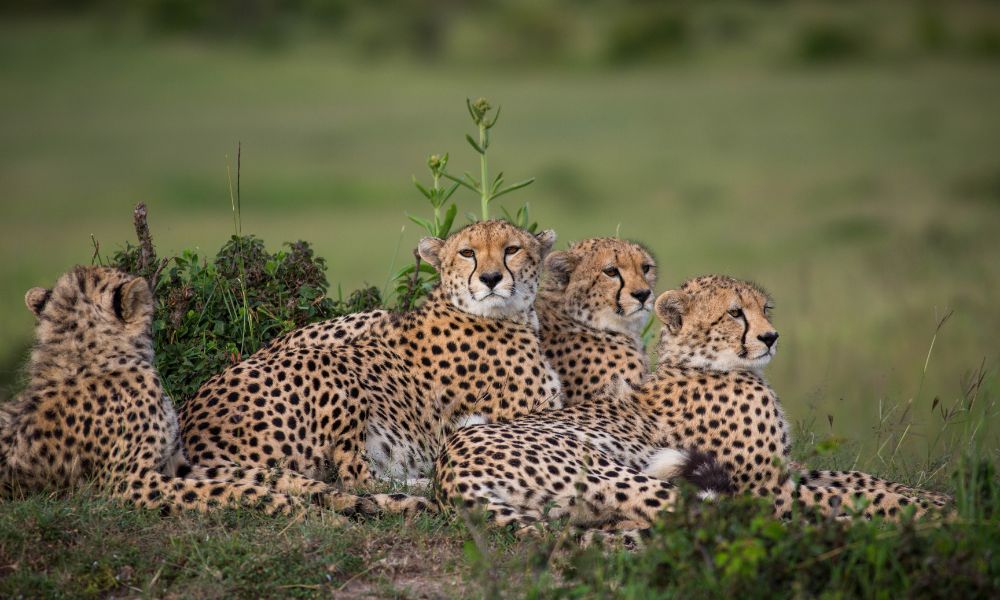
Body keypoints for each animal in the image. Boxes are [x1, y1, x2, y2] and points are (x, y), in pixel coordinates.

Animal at [0, 266, 371, 518]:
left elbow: (259, 475)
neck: (91, 359)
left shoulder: (178, 464)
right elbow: (232, 490)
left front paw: (347, 499)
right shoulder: (132, 483)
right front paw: (304, 509)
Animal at [179, 220, 563, 509]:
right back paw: (421, 485)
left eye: (511, 250)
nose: (491, 278)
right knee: (354, 479)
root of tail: (190, 430)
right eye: (467, 253)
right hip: (334, 370)